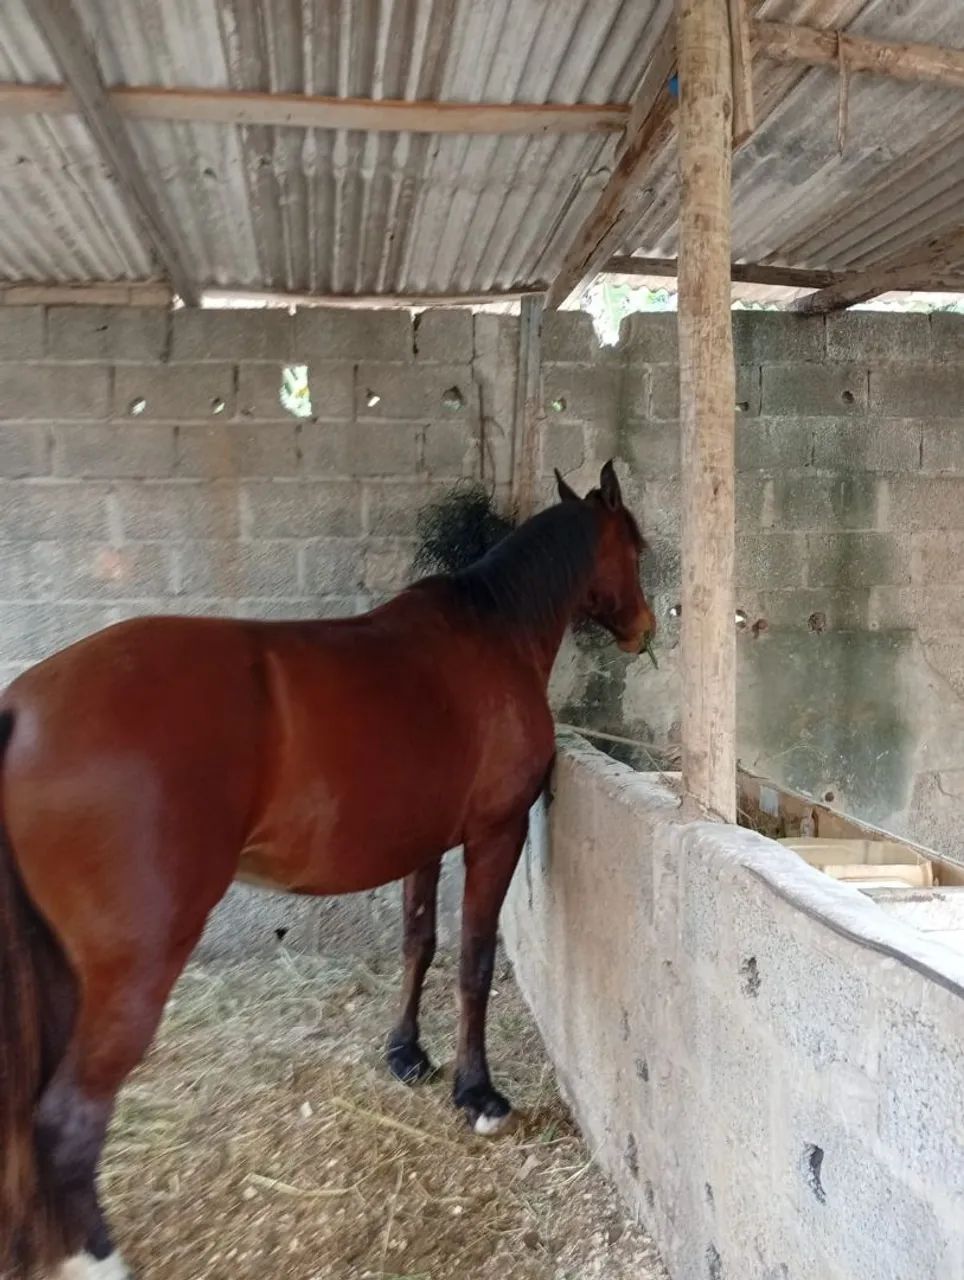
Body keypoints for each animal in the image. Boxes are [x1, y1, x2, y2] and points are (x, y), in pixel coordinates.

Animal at [0, 460, 655, 1279]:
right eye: (636, 545)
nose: (646, 629)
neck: (493, 633)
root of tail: (23, 710)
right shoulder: (492, 836)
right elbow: (473, 960)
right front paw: (478, 1095)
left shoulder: (424, 846)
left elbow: (418, 944)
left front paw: (407, 1055)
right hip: (130, 972)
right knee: (67, 1119)